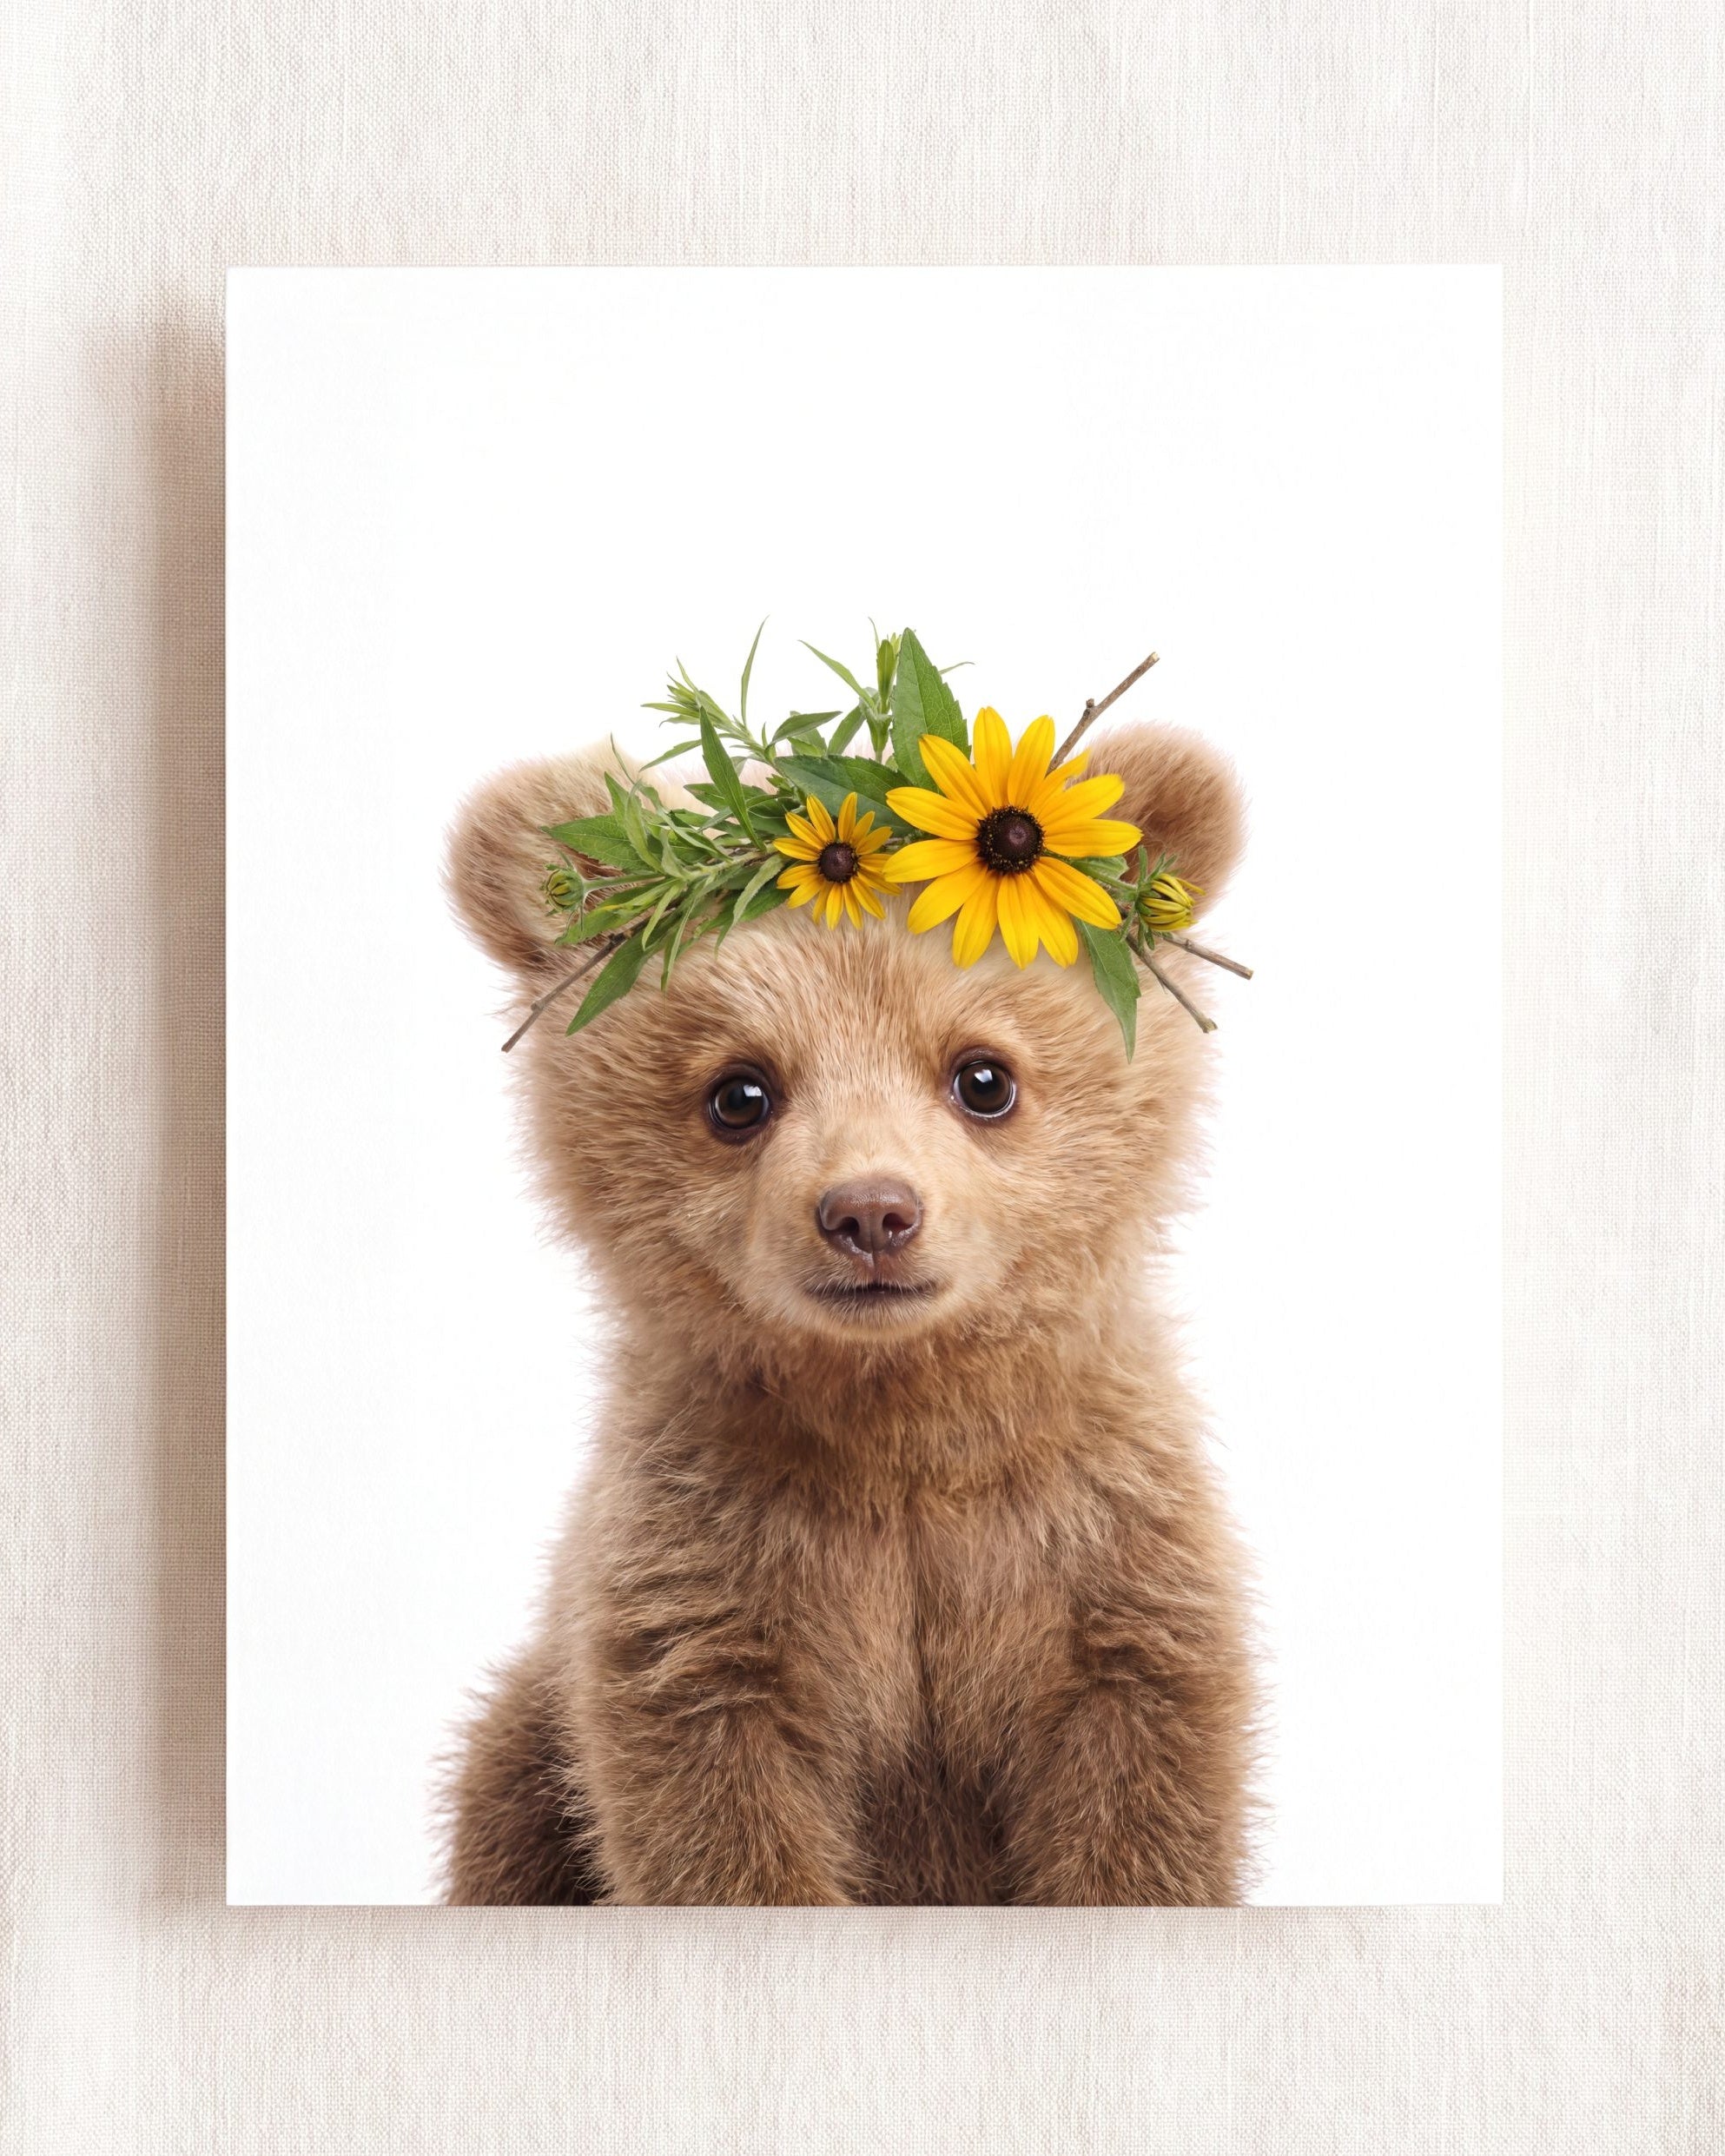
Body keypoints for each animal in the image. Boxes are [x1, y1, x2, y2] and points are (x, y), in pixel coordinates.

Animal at [440, 718, 1257, 1905]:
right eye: (740, 1092)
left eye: (983, 1076)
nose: (871, 1212)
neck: (899, 1422)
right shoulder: (707, 1585)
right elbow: (718, 1825)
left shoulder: (1104, 1562)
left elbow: (1141, 1806)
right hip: (523, 1758)